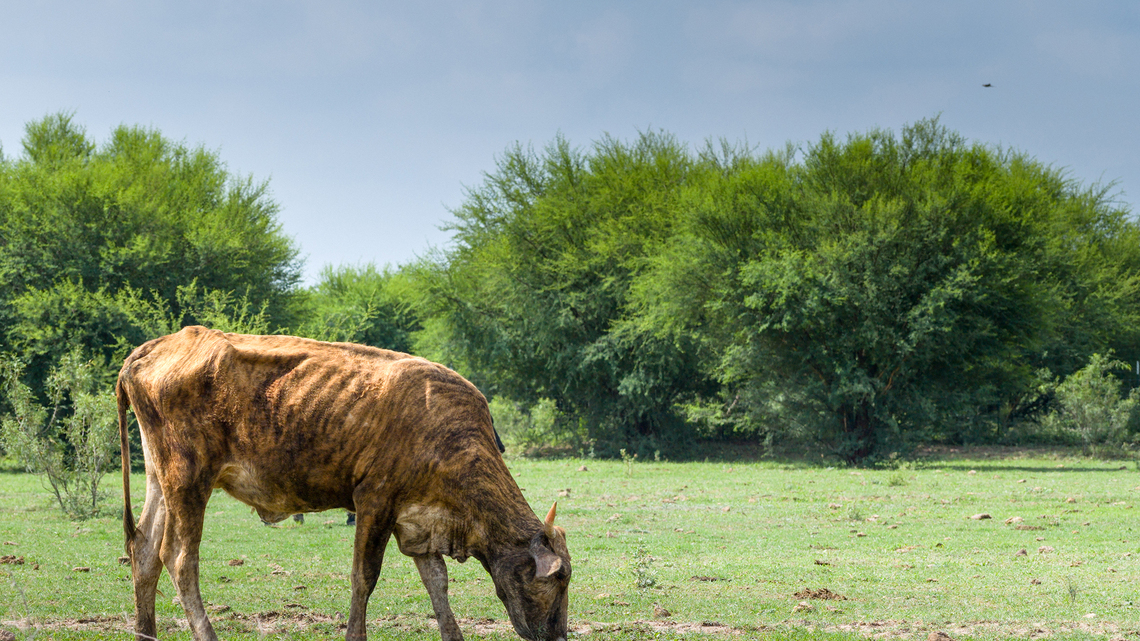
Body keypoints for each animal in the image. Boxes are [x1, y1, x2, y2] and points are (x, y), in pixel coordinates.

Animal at [117, 326, 571, 641]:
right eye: (559, 579)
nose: (558, 635)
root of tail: (152, 348)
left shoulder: (419, 523)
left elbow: (437, 583)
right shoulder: (375, 502)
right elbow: (363, 577)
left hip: (161, 480)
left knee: (145, 551)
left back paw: (146, 632)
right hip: (189, 480)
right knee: (179, 559)